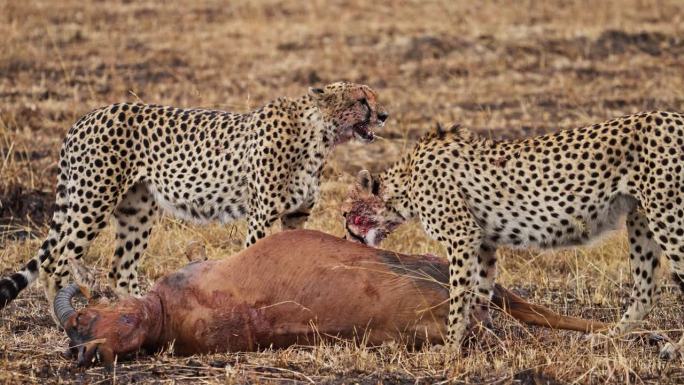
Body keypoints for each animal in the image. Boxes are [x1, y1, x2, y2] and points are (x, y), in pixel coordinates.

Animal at [0, 80, 388, 318]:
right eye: (361, 100)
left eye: (374, 99)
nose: (384, 115)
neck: (320, 135)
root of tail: (85, 117)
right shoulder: (262, 215)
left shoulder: (295, 216)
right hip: (92, 201)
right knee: (56, 261)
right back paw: (63, 321)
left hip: (137, 209)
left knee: (120, 266)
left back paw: (140, 309)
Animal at [344, 112, 684, 360]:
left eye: (347, 213)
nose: (346, 236)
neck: (407, 182)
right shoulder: (482, 240)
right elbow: (480, 292)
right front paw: (482, 334)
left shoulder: (462, 236)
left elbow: (459, 295)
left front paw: (450, 347)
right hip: (641, 217)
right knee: (645, 290)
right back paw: (606, 338)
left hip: (669, 217)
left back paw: (672, 348)